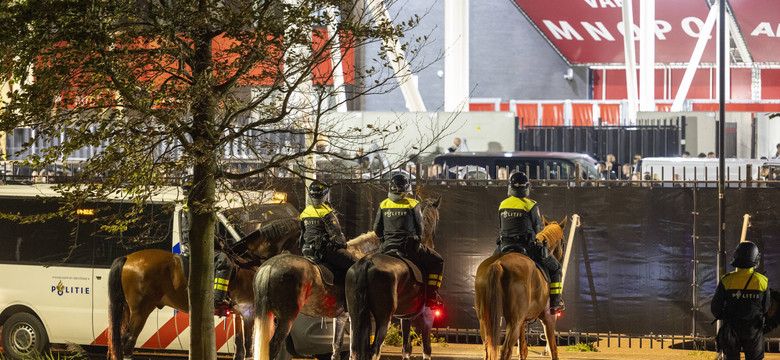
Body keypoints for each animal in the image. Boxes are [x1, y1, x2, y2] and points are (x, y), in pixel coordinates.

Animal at [109, 217, 302, 360]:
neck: (249, 261)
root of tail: (128, 257)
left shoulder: (239, 315)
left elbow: (239, 349)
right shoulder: (249, 313)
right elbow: (249, 348)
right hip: (141, 311)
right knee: (128, 342)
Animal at [344, 197, 442, 360]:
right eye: (438, 218)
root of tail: (368, 261)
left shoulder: (405, 317)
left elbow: (406, 349)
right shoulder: (428, 314)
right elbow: (426, 349)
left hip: (355, 317)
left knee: (355, 351)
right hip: (384, 318)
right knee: (374, 351)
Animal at [476, 218, 568, 360]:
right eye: (563, 241)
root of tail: (497, 264)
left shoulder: (523, 323)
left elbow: (523, 350)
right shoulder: (549, 318)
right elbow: (553, 349)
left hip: (485, 319)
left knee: (488, 348)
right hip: (514, 321)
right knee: (505, 350)